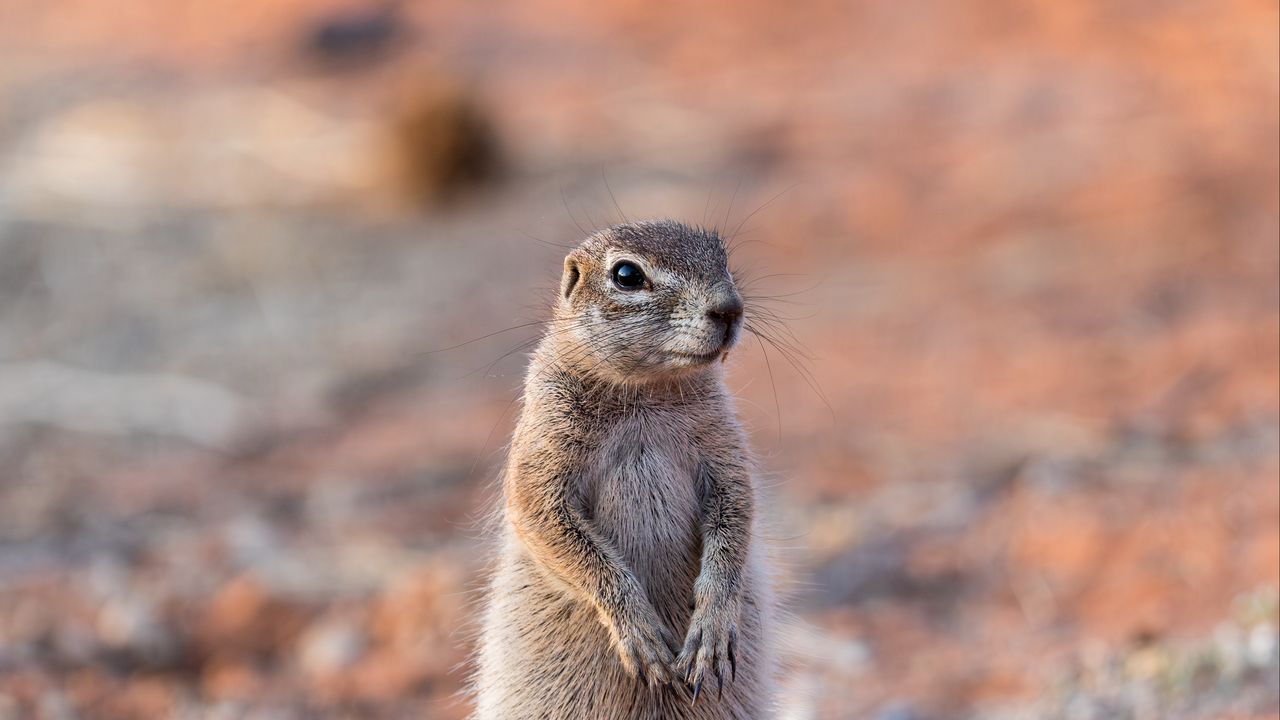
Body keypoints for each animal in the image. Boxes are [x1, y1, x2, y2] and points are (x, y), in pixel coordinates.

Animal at [473, 220, 777, 719]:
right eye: (627, 275)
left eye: (722, 255)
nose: (730, 308)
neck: (644, 394)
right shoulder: (542, 452)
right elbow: (555, 530)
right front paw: (641, 634)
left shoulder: (724, 447)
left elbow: (736, 514)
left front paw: (710, 634)